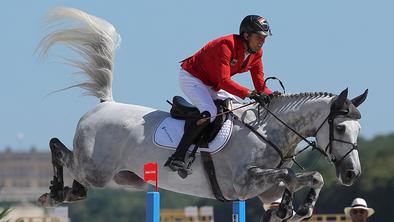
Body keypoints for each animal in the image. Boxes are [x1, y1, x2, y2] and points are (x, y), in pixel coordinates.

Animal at [38, 6, 368, 222]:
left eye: (358, 131)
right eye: (340, 129)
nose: (352, 174)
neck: (269, 133)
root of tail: (105, 104)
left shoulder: (265, 188)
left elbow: (310, 176)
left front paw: (300, 208)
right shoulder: (244, 182)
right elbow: (289, 175)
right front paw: (293, 207)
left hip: (125, 179)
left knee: (77, 178)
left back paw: (67, 192)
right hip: (96, 169)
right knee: (60, 150)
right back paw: (53, 193)